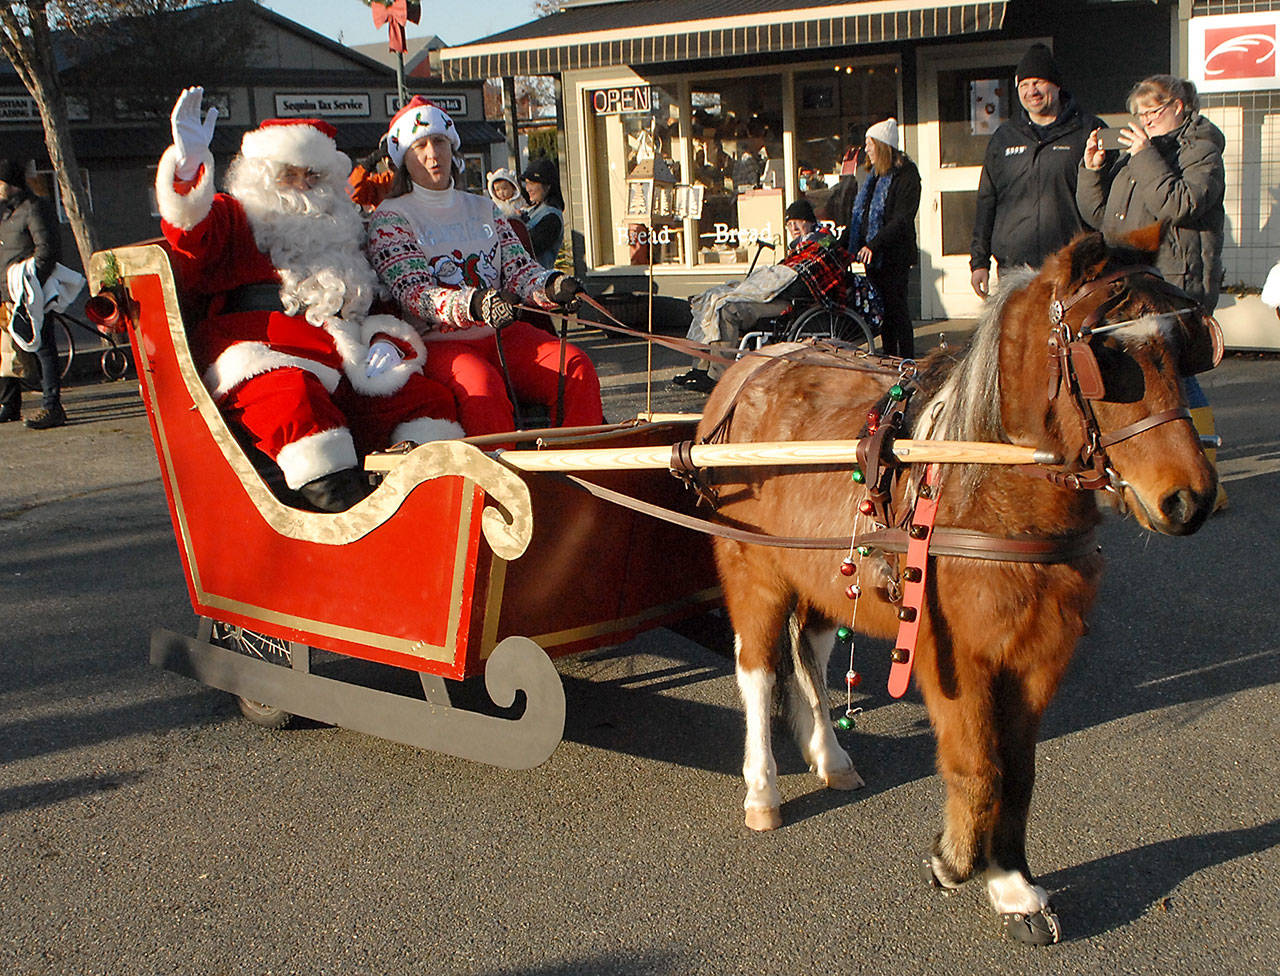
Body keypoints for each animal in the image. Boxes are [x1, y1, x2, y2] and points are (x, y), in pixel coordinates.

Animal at [701, 227, 1218, 942]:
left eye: (1187, 344)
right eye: (1107, 356)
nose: (1190, 500)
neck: (985, 484)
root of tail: (746, 371)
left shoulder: (1038, 656)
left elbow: (1019, 770)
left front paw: (1012, 883)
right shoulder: (953, 658)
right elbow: (978, 763)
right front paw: (957, 860)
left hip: (823, 578)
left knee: (810, 659)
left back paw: (830, 756)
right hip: (753, 570)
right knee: (757, 671)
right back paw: (762, 789)